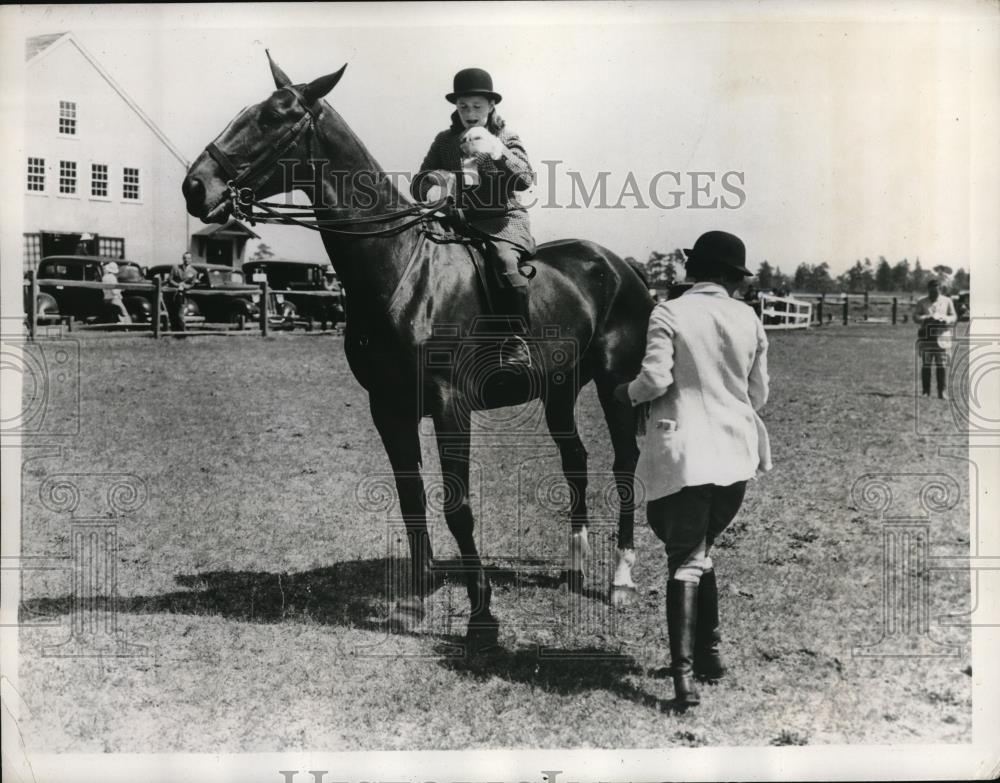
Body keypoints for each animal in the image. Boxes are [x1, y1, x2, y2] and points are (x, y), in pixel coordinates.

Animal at [184, 52, 656, 648]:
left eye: (273, 116)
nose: (195, 187)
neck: (404, 271)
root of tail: (621, 265)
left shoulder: (451, 406)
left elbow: (458, 506)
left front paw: (481, 615)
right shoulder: (389, 407)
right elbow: (411, 499)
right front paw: (415, 598)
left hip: (616, 385)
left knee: (624, 462)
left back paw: (621, 578)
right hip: (558, 390)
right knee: (576, 460)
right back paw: (575, 562)